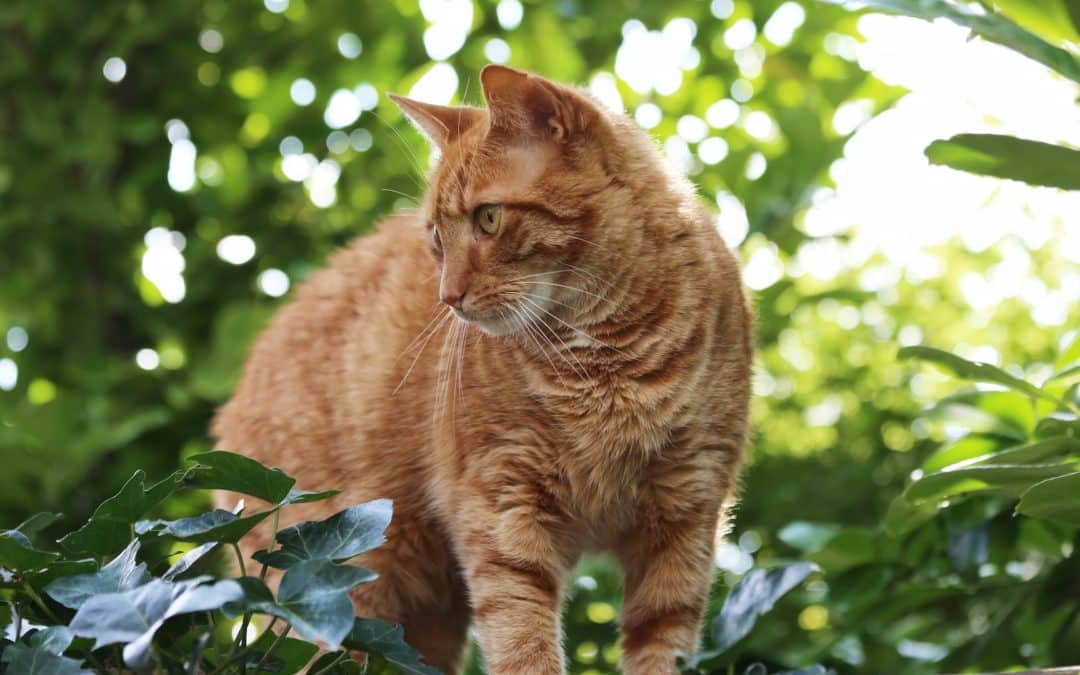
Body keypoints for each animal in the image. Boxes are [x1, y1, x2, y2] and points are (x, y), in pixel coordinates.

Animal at [210, 64, 751, 673]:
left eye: (488, 219)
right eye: (435, 238)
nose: (448, 297)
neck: (609, 352)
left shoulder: (687, 516)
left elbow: (661, 644)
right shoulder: (502, 510)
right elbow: (523, 646)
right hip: (336, 592)